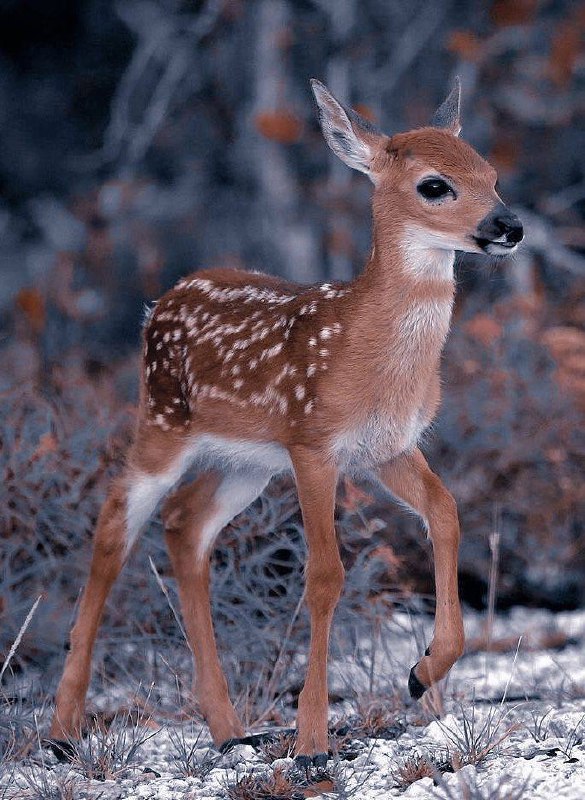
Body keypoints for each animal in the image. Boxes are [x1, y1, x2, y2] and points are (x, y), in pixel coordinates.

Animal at [50, 78, 524, 764]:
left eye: (493, 176)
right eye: (434, 184)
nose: (509, 225)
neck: (367, 351)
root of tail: (158, 302)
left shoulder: (387, 448)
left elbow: (446, 512)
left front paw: (422, 671)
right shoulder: (313, 442)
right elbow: (325, 574)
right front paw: (312, 740)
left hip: (245, 462)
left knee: (185, 525)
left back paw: (228, 729)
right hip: (162, 422)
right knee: (113, 525)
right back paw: (62, 730)